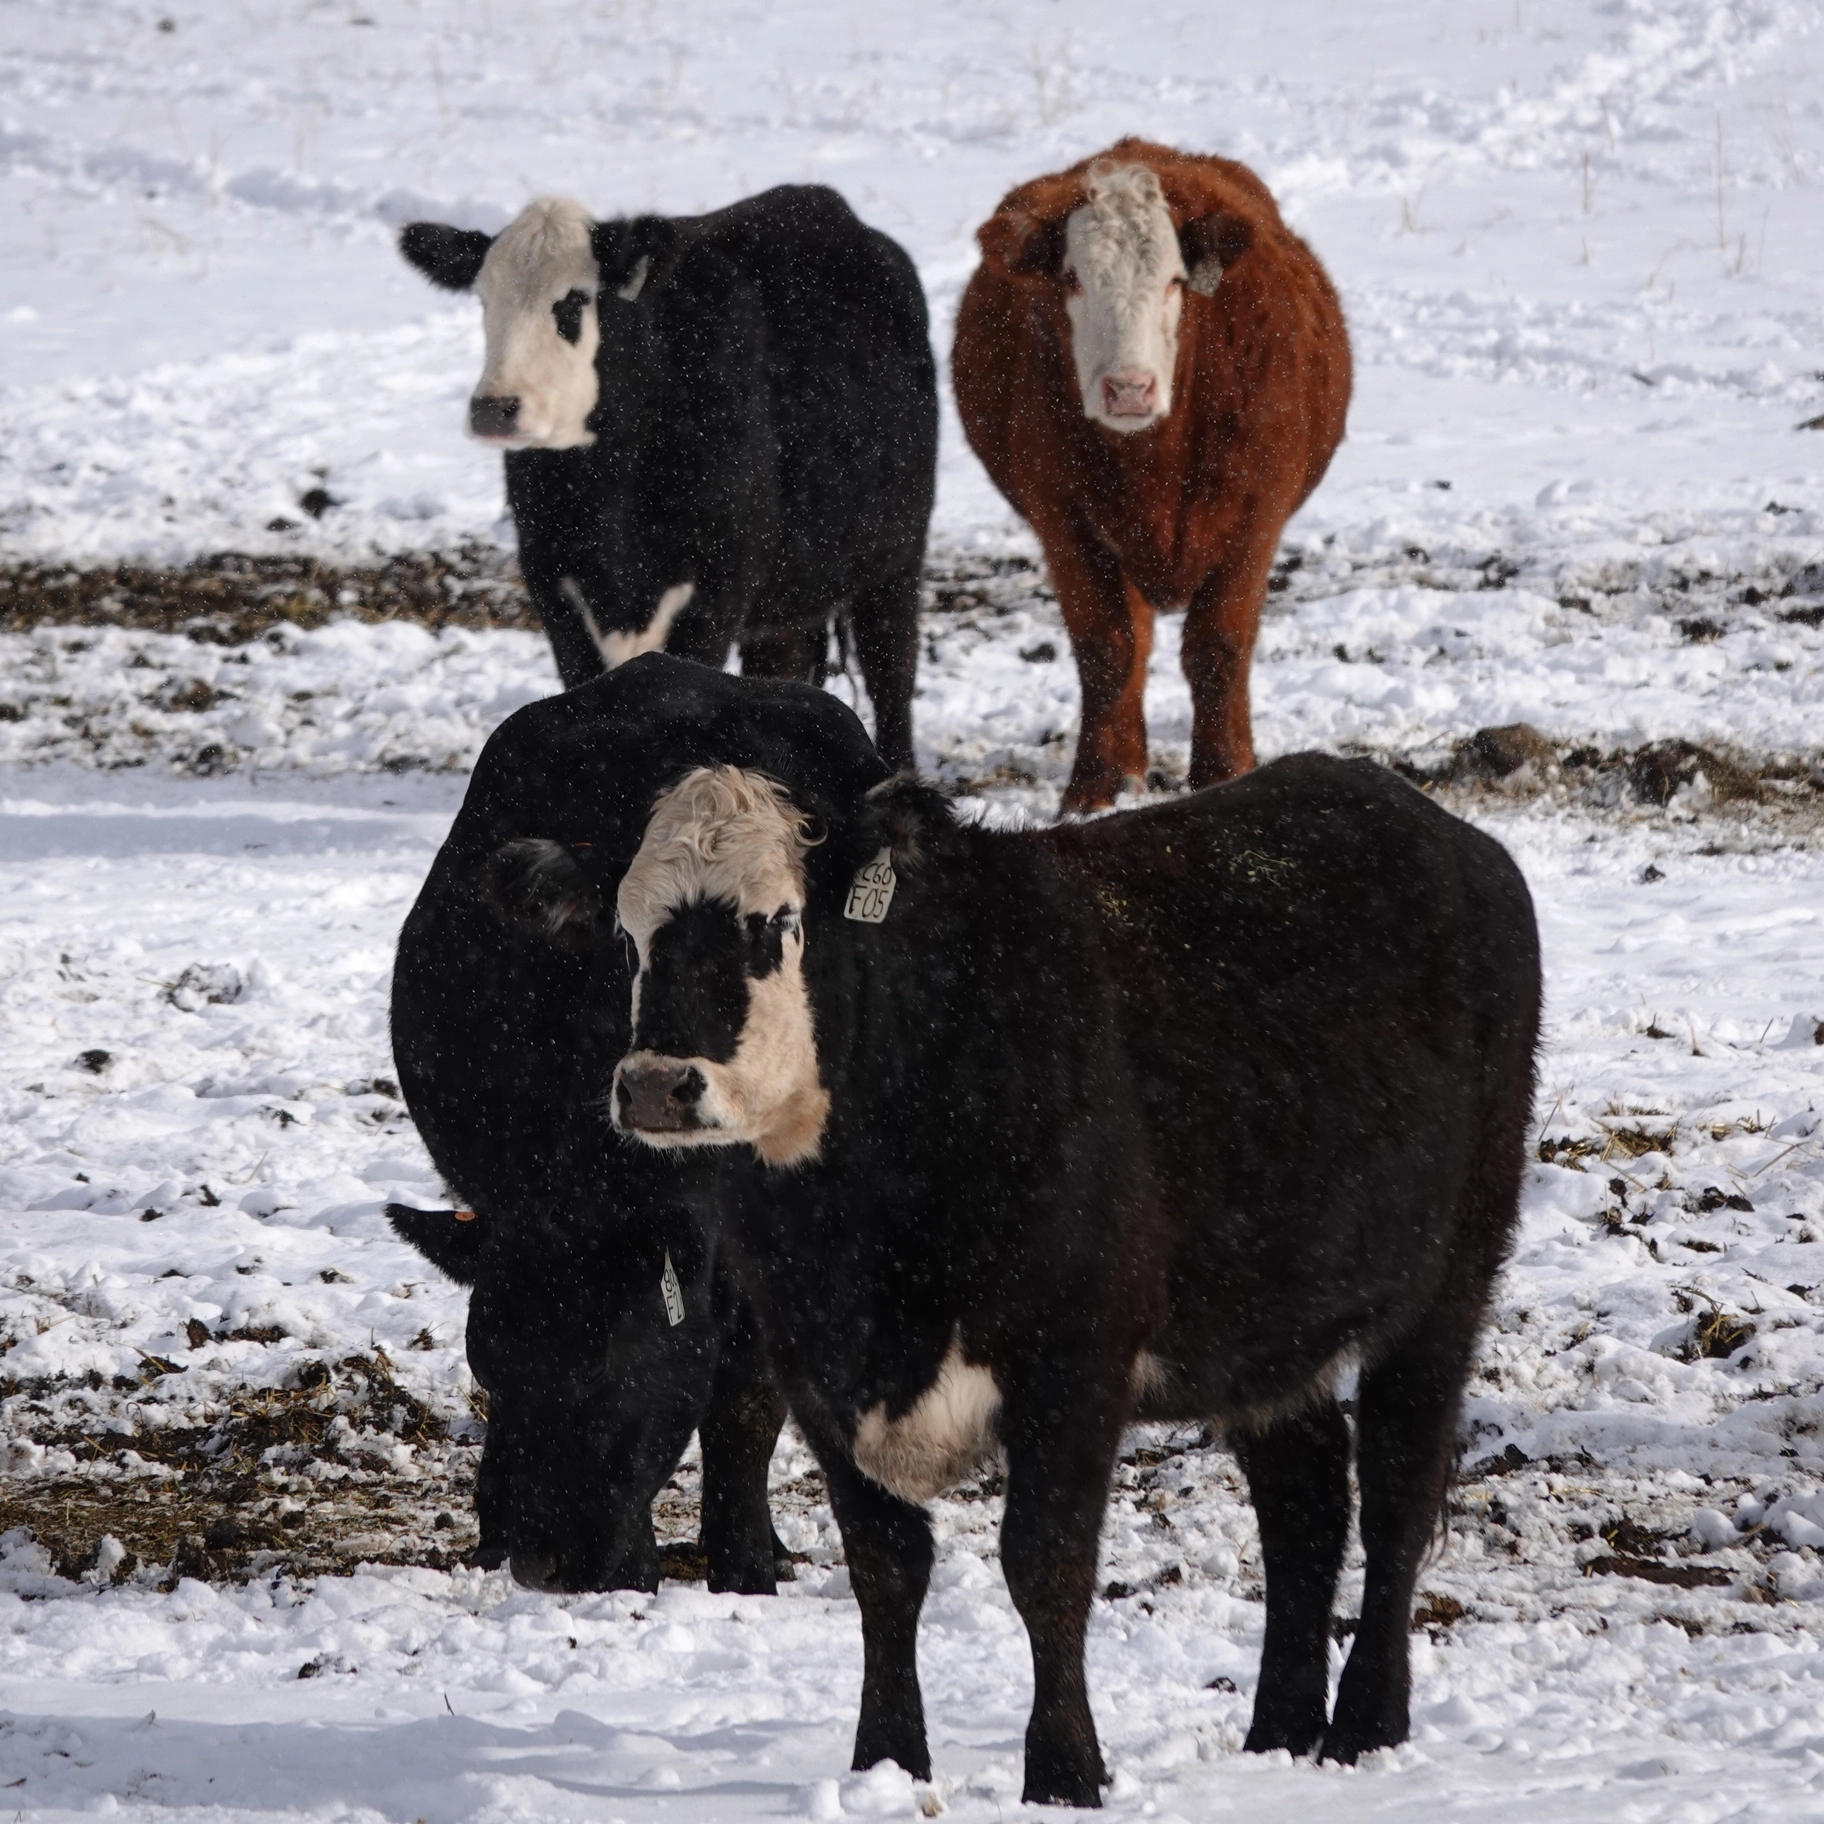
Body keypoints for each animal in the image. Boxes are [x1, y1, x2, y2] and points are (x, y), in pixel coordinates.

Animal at [398, 184, 937, 769]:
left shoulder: (714, 590)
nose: (494, 407)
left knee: (892, 676)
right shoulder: (553, 583)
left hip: (896, 556)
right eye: (483, 301)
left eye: (574, 301)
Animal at [588, 658, 1539, 1805]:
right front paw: (888, 1763)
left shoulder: (1077, 1358)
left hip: (1448, 1283)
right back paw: (1277, 1730)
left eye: (773, 925)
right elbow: (885, 1568)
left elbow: (1044, 1565)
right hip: (1269, 1319)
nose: (656, 1085)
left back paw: (1365, 1723)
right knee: (1304, 1495)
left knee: (1400, 1484)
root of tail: (1445, 832)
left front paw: (1066, 1772)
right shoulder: (813, 1359)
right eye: (630, 937)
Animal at [952, 139, 1352, 811]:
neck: (1155, 462)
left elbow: (1219, 647)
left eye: (1174, 281)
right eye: (1072, 279)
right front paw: (1091, 790)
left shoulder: (1257, 515)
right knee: (1134, 643)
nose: (1128, 389)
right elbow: (1106, 651)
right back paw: (1130, 768)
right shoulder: (1062, 521)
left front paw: (1223, 774)